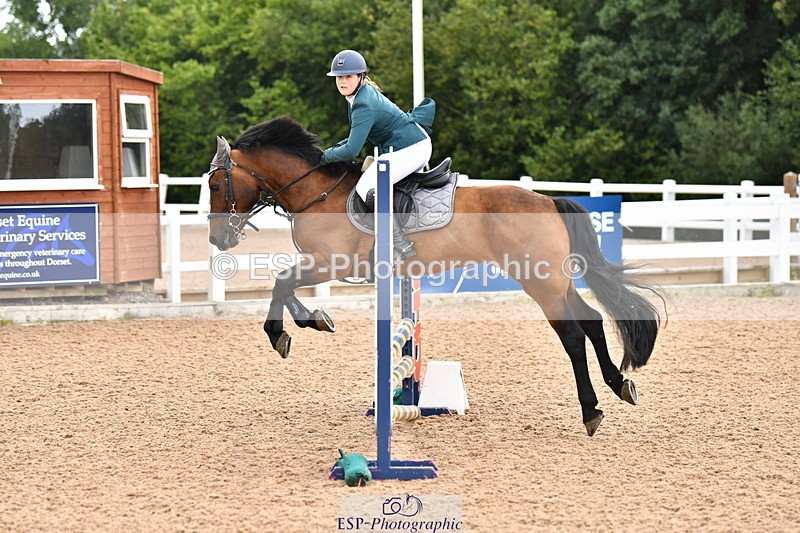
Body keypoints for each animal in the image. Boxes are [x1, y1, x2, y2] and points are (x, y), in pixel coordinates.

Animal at [206, 116, 663, 436]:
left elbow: (281, 282)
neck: (316, 193)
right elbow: (284, 284)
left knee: (572, 335)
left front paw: (288, 331)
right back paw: (619, 386)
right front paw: (312, 320)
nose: (217, 238)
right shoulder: (324, 265)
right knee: (592, 320)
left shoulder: (331, 262)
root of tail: (549, 201)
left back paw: (590, 410)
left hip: (540, 284)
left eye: (213, 184)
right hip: (557, 281)